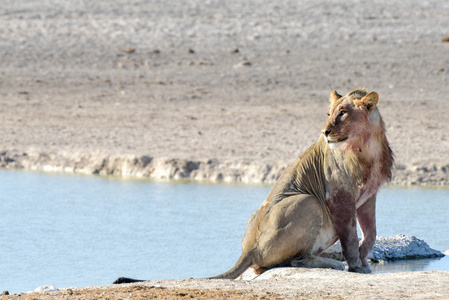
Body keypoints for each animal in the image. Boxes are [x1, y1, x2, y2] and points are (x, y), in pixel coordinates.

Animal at [206, 88, 392, 278]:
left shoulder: (369, 196)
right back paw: (333, 263)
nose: (324, 132)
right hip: (310, 202)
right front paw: (356, 267)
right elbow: (350, 236)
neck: (368, 147)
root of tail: (249, 249)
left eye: (343, 113)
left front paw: (365, 263)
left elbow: (371, 233)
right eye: (329, 114)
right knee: (297, 260)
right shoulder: (340, 195)